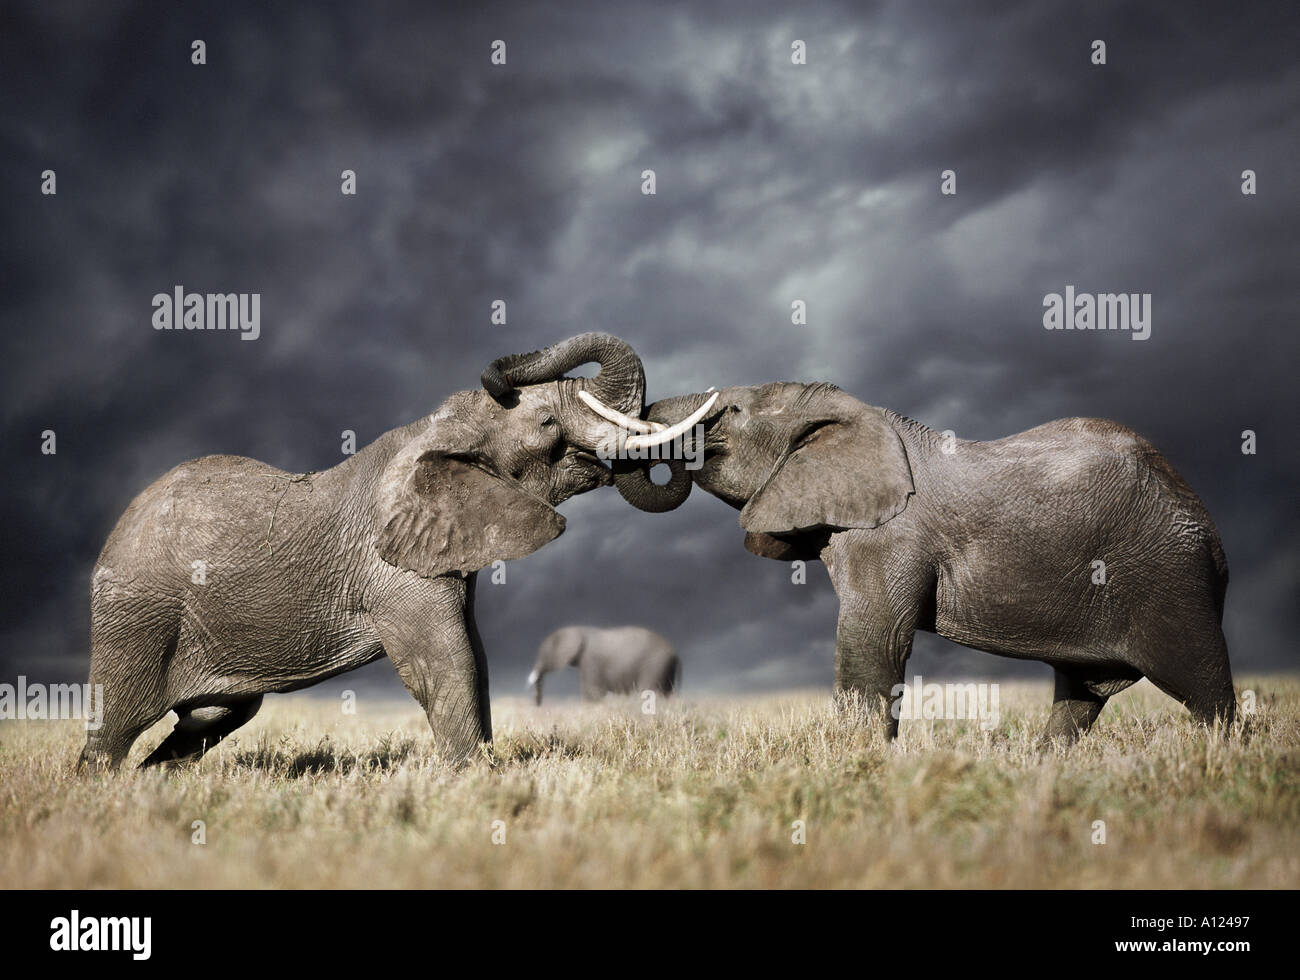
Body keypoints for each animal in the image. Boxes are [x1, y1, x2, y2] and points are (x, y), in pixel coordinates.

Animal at [525, 626, 681, 701]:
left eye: (545, 652)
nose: (538, 705)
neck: (578, 629)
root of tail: (675, 655)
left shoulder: (590, 660)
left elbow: (592, 692)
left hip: (655, 665)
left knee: (650, 692)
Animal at [608, 382, 1237, 738]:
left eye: (732, 410)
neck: (860, 417)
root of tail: (1211, 534)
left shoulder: (890, 535)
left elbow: (873, 643)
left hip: (1168, 576)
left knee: (1205, 690)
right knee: (1079, 701)